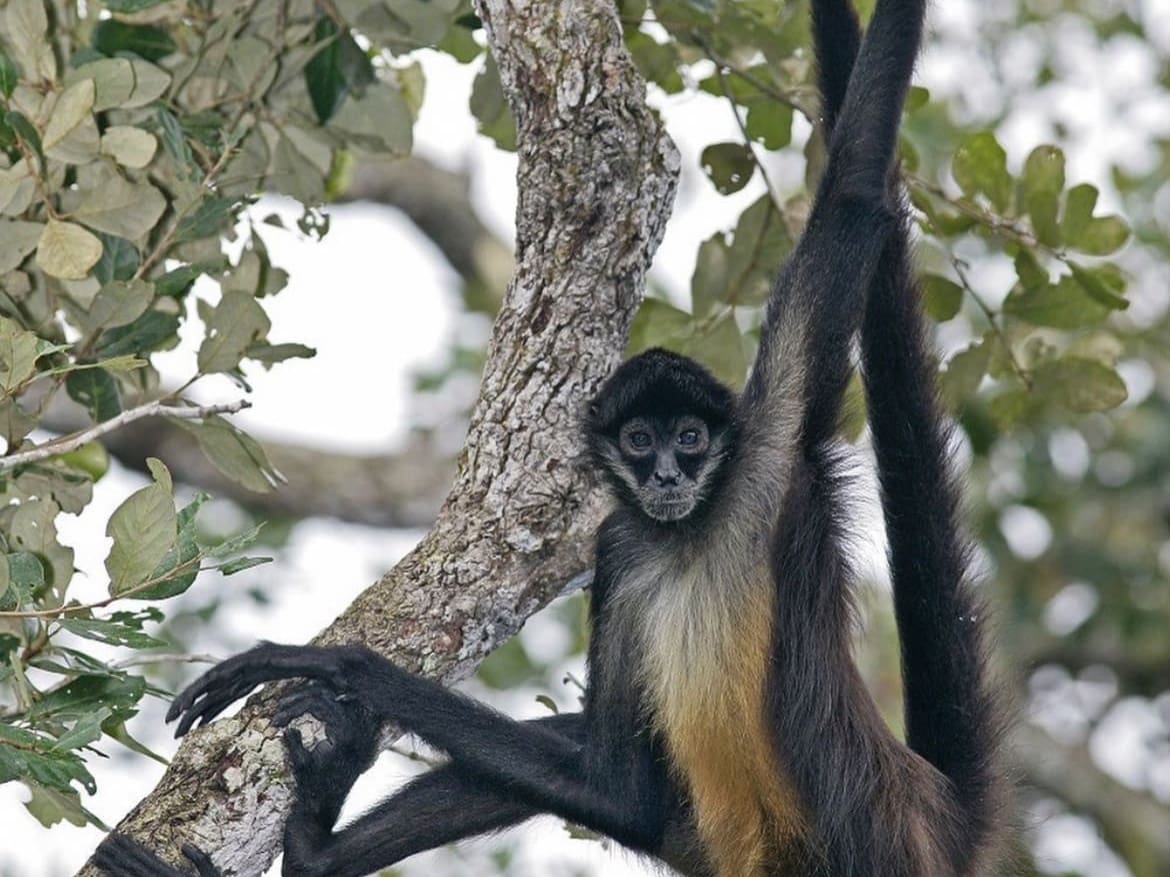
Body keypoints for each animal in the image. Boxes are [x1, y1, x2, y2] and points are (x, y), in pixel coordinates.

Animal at [94, 0, 1006, 873]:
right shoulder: (623, 545)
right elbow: (611, 785)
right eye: (638, 440)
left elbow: (852, 194)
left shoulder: (772, 450)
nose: (669, 476)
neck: (689, 533)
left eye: (689, 436)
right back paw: (317, 849)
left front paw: (344, 668)